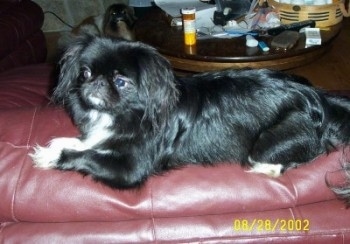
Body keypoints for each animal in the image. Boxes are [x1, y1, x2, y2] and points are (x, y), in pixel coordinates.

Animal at [30, 33, 350, 202]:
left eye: (121, 82)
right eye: (85, 73)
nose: (94, 83)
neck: (123, 114)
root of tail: (316, 97)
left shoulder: (130, 169)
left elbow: (85, 156)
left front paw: (50, 157)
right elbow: (82, 143)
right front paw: (55, 146)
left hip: (267, 143)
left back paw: (266, 168)